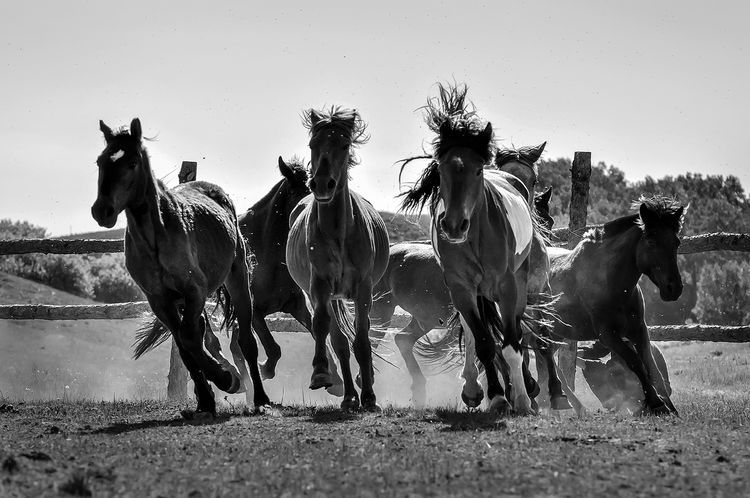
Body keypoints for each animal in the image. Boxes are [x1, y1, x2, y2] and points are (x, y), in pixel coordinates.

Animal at [92, 117, 270, 416]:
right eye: (100, 161)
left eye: (132, 163)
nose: (101, 210)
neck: (156, 240)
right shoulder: (160, 301)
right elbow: (187, 347)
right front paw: (209, 395)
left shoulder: (194, 291)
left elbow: (189, 340)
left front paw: (226, 379)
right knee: (198, 334)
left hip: (238, 281)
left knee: (246, 340)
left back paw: (260, 398)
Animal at [288, 107, 390, 410]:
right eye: (313, 144)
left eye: (344, 146)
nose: (322, 184)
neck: (338, 232)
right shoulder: (320, 285)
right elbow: (323, 327)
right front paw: (321, 373)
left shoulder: (363, 290)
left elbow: (362, 340)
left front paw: (370, 396)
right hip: (331, 297)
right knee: (339, 341)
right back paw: (348, 397)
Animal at [402, 83, 544, 414]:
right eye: (441, 169)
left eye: (478, 170)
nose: (454, 226)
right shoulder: (462, 288)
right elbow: (483, 343)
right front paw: (497, 396)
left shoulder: (509, 286)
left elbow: (512, 342)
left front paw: (522, 398)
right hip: (473, 293)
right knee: (472, 331)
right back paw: (475, 388)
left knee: (514, 332)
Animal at [548, 197, 688, 416]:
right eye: (651, 241)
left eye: (677, 242)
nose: (674, 288)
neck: (614, 285)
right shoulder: (608, 335)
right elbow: (635, 362)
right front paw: (656, 403)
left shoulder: (639, 330)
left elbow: (651, 365)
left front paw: (670, 407)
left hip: (557, 332)